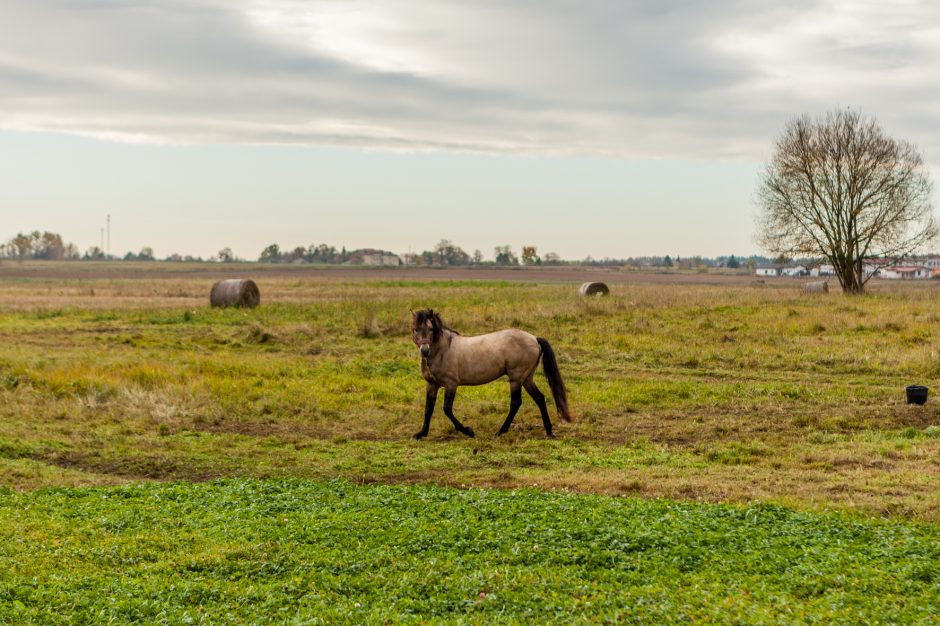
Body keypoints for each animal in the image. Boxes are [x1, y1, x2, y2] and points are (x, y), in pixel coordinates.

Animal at [408, 308, 568, 438]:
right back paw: (549, 431)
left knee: (516, 402)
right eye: (415, 329)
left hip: (516, 378)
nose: (424, 351)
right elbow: (428, 408)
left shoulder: (451, 384)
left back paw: (500, 432)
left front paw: (468, 431)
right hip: (527, 378)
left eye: (430, 328)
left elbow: (447, 409)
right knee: (540, 398)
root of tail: (534, 338)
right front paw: (421, 434)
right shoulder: (432, 385)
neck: (443, 350)